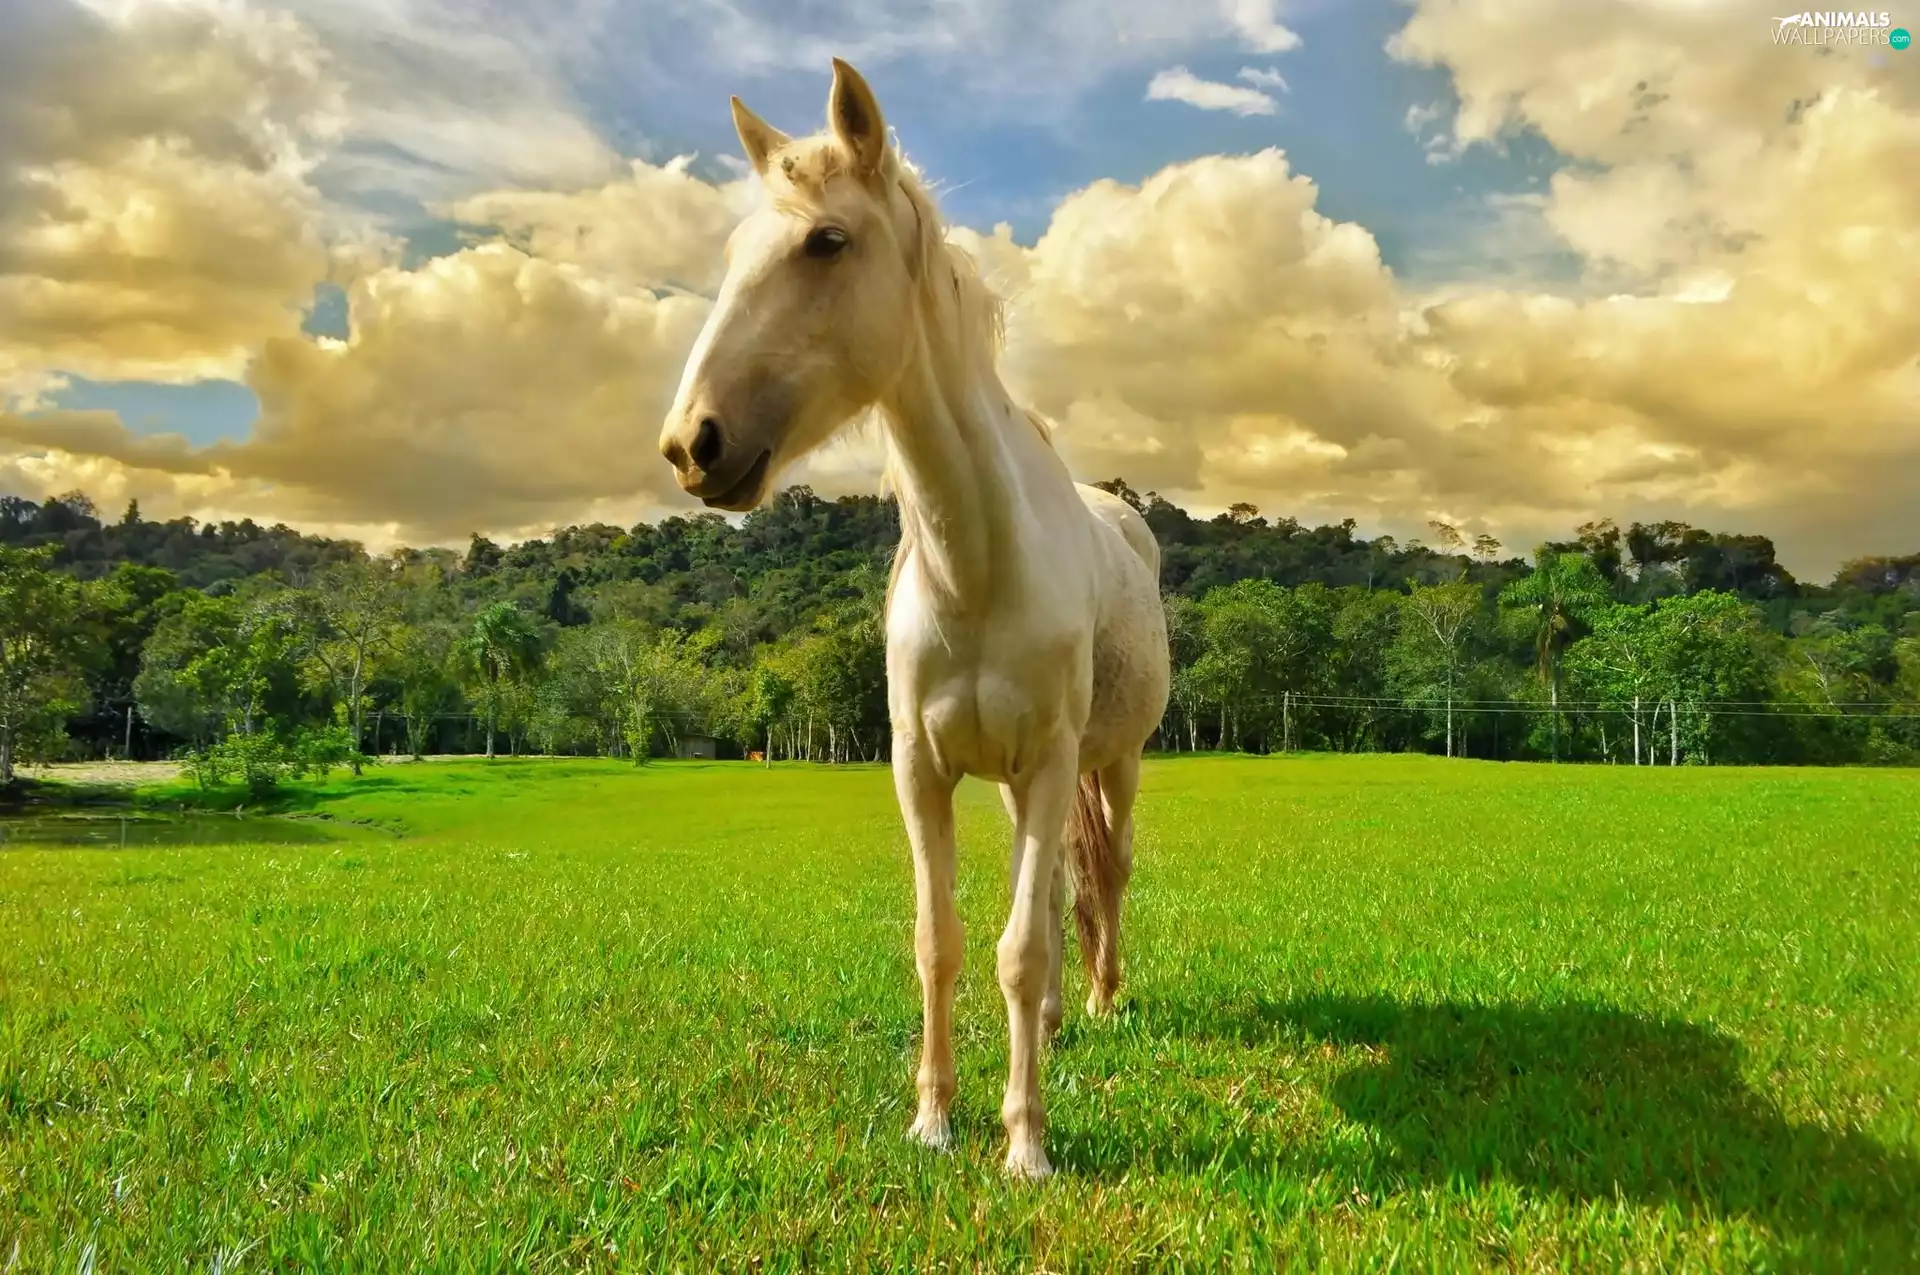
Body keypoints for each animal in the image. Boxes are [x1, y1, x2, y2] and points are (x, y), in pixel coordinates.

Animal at [657, 58, 1171, 1180]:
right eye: (733, 253)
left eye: (827, 240)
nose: (691, 443)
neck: (978, 565)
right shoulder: (921, 769)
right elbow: (943, 941)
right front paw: (934, 1119)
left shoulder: (1050, 762)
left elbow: (1019, 947)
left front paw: (1026, 1142)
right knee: (1057, 894)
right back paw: (1057, 1021)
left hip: (1112, 760)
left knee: (1104, 876)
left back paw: (1102, 1001)